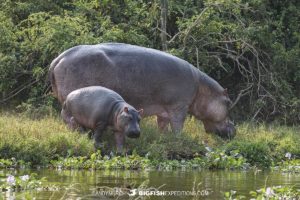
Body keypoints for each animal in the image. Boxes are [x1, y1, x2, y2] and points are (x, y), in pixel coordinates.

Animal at [49, 42, 236, 138]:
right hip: (72, 99)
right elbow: (178, 125)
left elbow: (162, 124)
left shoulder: (164, 110)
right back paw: (78, 131)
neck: (203, 89)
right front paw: (179, 138)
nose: (235, 129)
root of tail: (58, 58)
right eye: (228, 102)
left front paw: (163, 138)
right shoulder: (179, 106)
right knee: (67, 117)